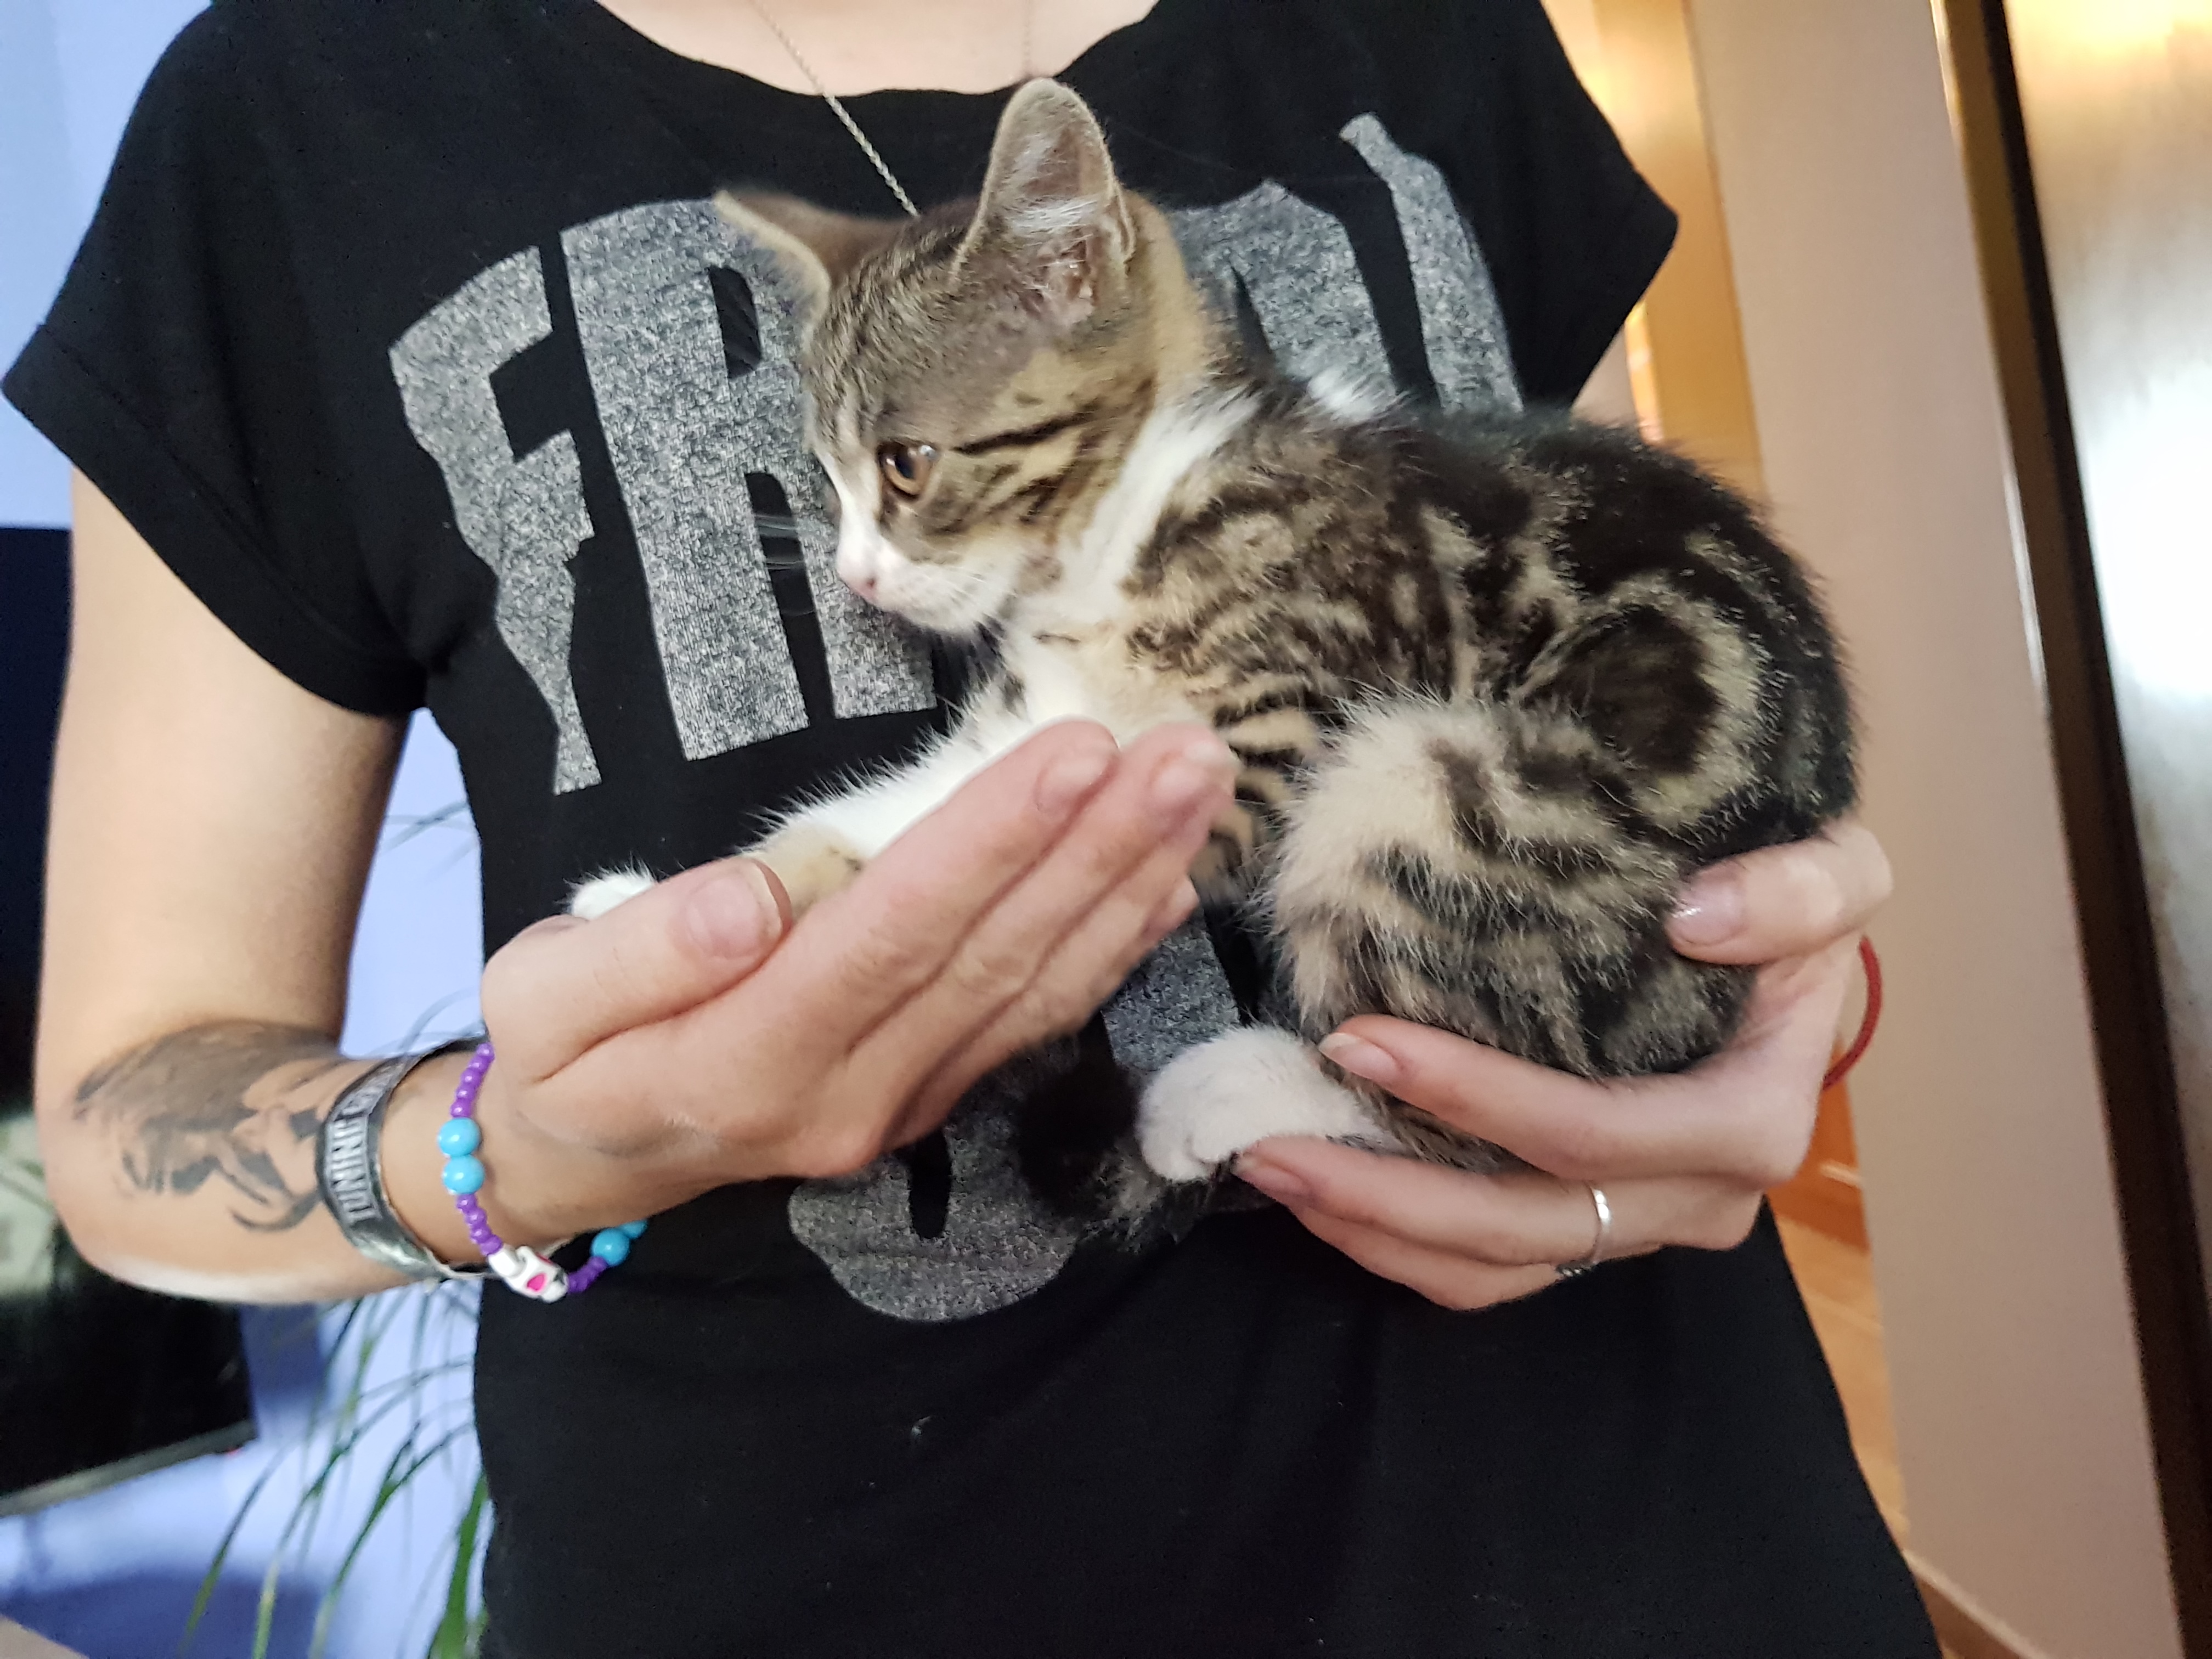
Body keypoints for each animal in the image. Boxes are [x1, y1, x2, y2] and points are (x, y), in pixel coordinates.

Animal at [571, 79, 1856, 1190]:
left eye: (906, 464)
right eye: (828, 478)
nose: (857, 575)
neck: (1121, 524)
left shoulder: (1273, 735)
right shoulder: (1040, 718)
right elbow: (896, 813)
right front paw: (691, 907)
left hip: (1443, 790)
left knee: (1472, 1109)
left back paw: (1236, 1092)